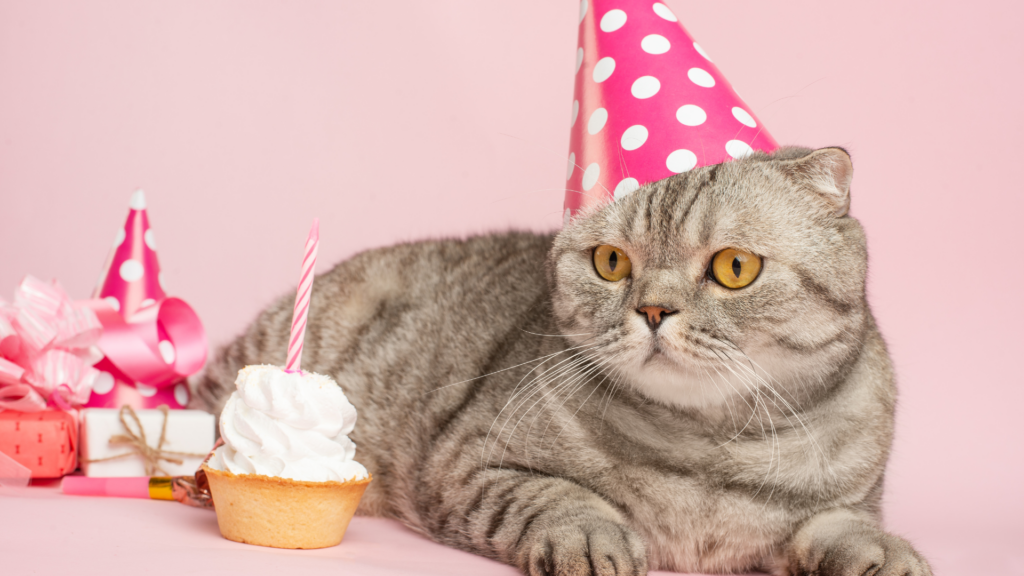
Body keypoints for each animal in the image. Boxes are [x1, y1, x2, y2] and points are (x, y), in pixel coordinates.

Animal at [190, 145, 929, 569]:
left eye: (735, 267)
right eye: (611, 263)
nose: (653, 310)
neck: (705, 452)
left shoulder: (852, 496)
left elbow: (844, 525)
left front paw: (882, 552)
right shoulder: (469, 463)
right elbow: (556, 495)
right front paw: (593, 537)